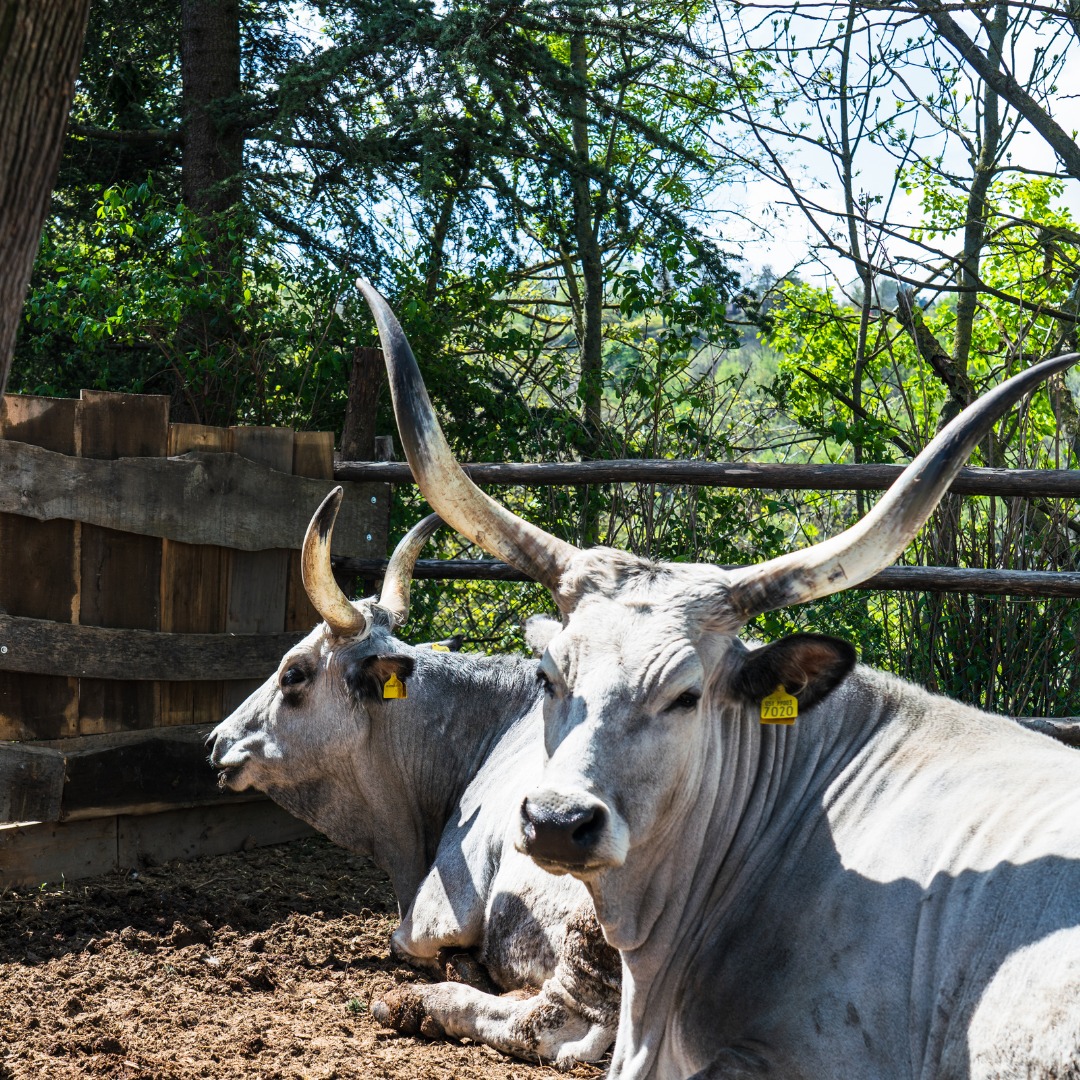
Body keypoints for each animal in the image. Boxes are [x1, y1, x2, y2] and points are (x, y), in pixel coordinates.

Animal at [208, 496, 617, 1071]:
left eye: (294, 674)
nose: (216, 741)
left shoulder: (432, 917)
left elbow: (412, 945)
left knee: (550, 1021)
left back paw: (419, 1003)